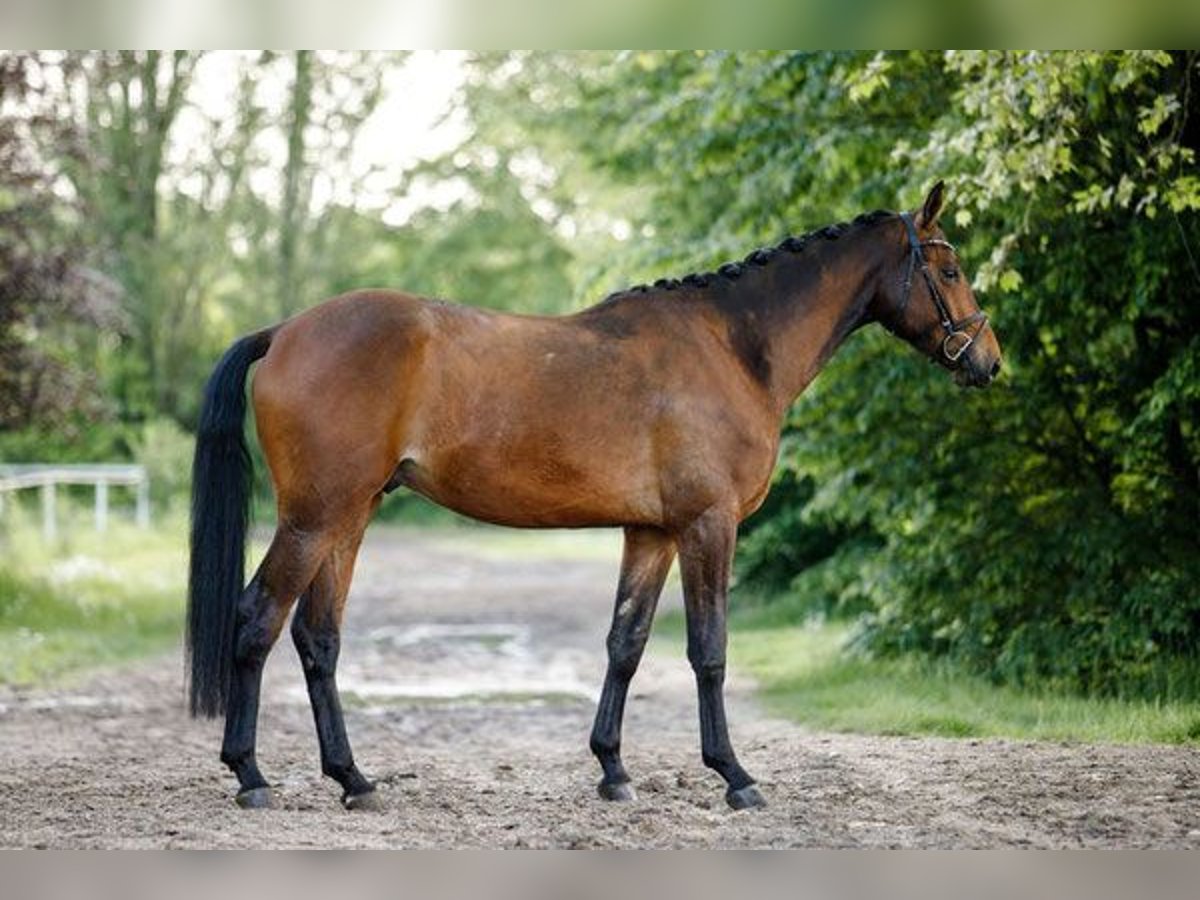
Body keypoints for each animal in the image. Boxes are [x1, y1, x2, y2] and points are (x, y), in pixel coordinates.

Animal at [187, 180, 998, 816]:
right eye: (951, 268)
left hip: (349, 518)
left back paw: (353, 779)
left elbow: (625, 643)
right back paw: (251, 777)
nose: (988, 361)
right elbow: (709, 649)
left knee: (317, 639)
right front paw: (734, 776)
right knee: (257, 619)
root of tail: (285, 331)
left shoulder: (652, 533)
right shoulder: (708, 526)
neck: (731, 346)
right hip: (314, 518)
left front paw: (613, 769)